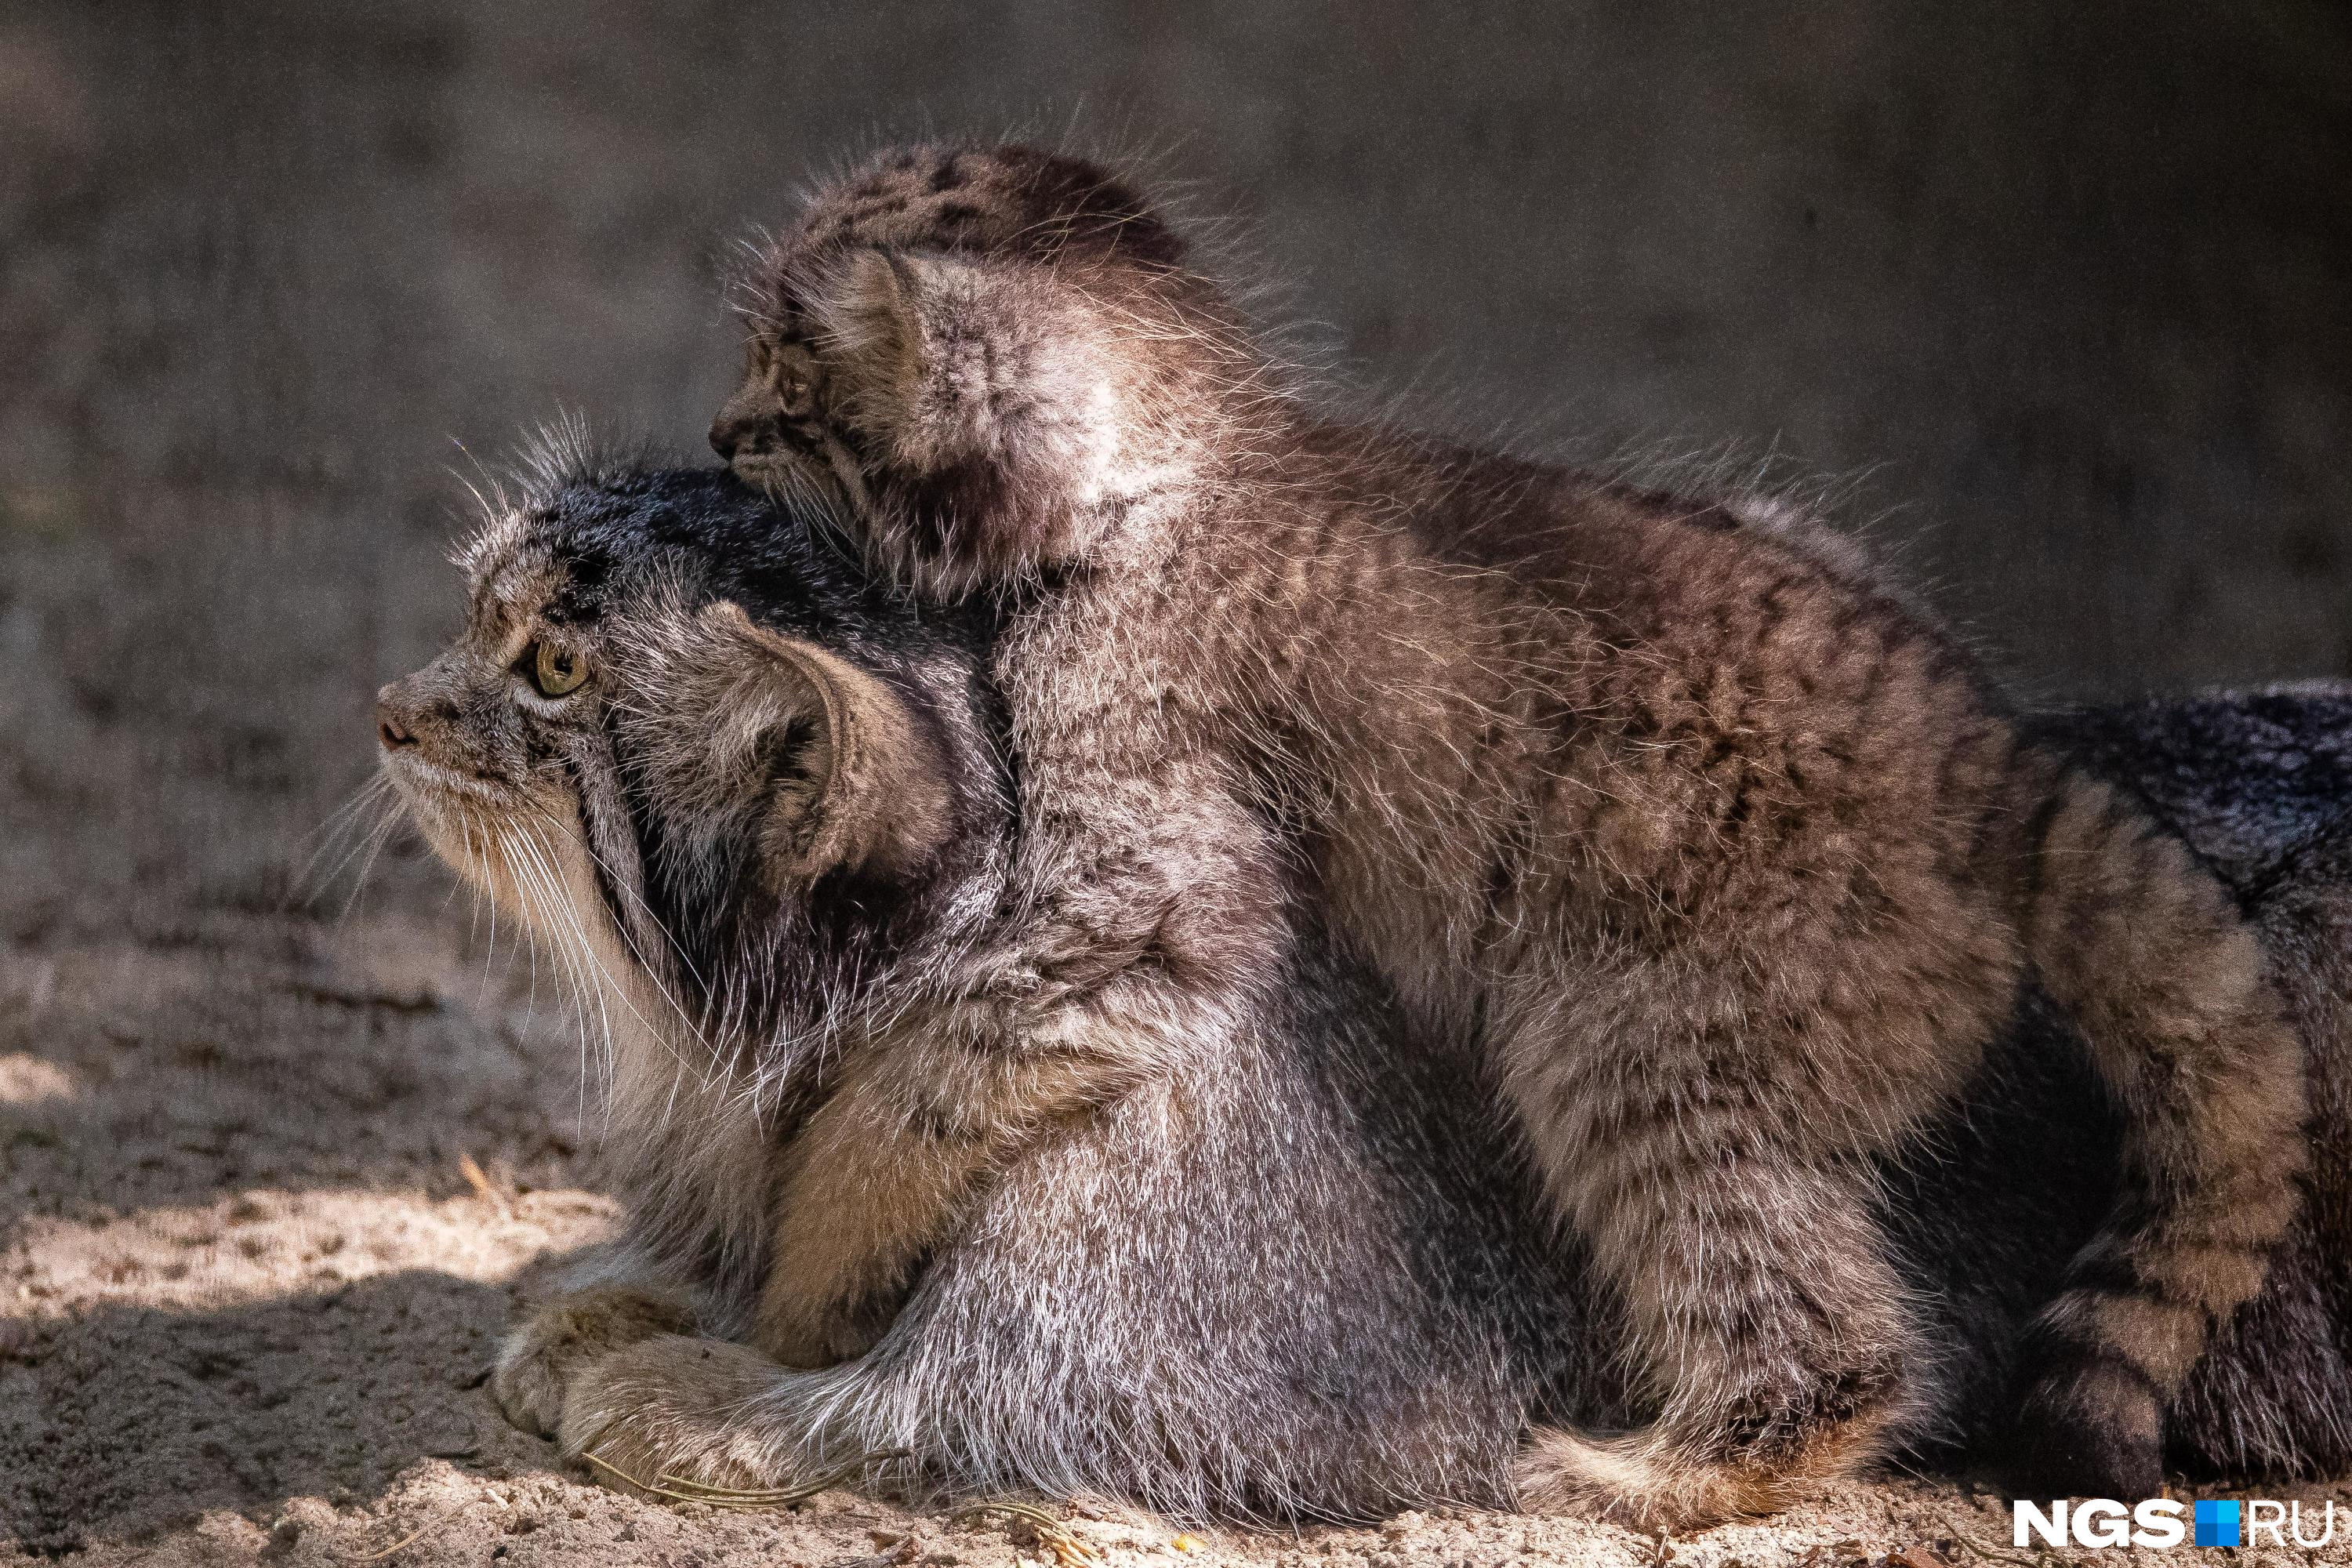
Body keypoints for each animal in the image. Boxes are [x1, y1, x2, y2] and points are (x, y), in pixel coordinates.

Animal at [706, 143, 2305, 1523]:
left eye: (787, 390)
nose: (719, 436)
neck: (1191, 440)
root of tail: (1990, 755)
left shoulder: (1139, 791)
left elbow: (946, 1064)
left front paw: (809, 1266)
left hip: (1645, 1041)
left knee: (1822, 1332)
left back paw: (1669, 1473)